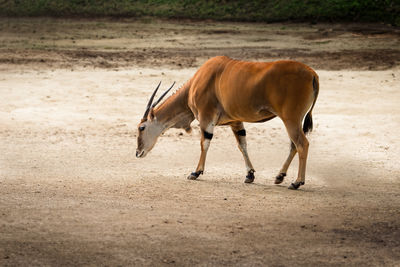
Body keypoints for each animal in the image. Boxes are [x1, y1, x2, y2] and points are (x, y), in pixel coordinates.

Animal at [136, 56, 320, 191]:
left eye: (142, 127)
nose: (138, 153)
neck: (196, 82)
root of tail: (312, 74)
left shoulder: (206, 118)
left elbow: (204, 143)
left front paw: (196, 172)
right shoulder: (235, 122)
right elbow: (242, 144)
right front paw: (249, 175)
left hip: (290, 119)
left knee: (302, 144)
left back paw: (296, 182)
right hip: (293, 121)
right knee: (294, 145)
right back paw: (279, 176)